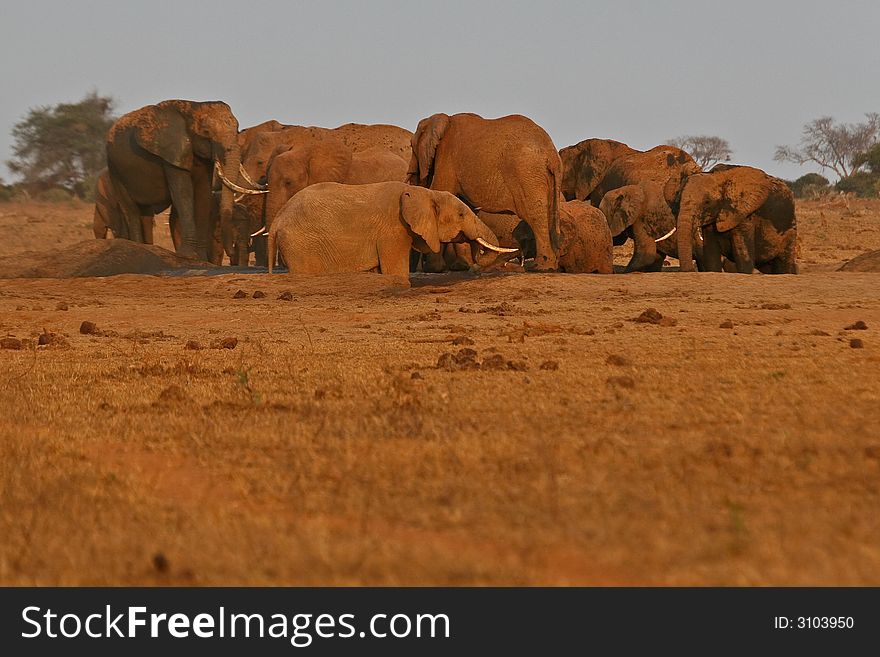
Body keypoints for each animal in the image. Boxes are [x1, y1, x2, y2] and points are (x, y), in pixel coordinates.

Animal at [105, 98, 264, 262]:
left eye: (237, 131)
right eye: (206, 133)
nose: (231, 252)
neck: (193, 107)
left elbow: (203, 194)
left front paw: (200, 259)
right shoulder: (172, 152)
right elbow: (183, 193)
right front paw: (188, 256)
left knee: (146, 214)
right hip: (114, 169)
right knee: (131, 210)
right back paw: (138, 247)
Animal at [408, 113, 560, 270]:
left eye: (411, 145)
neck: (444, 119)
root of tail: (552, 155)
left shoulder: (447, 158)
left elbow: (442, 191)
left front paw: (435, 269)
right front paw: (461, 267)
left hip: (527, 175)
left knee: (535, 216)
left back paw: (541, 266)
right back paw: (550, 264)